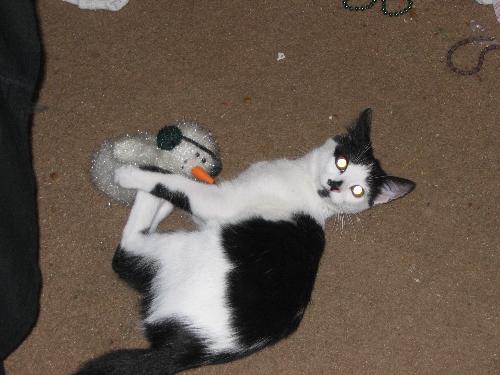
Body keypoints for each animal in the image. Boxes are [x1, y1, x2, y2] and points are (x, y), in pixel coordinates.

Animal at [76, 109, 416, 375]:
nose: (335, 185)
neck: (307, 187)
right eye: (342, 162)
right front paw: (164, 195)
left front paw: (137, 173)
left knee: (125, 252)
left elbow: (178, 185)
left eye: (358, 191)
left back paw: (139, 178)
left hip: (179, 251)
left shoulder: (218, 201)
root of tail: (193, 348)